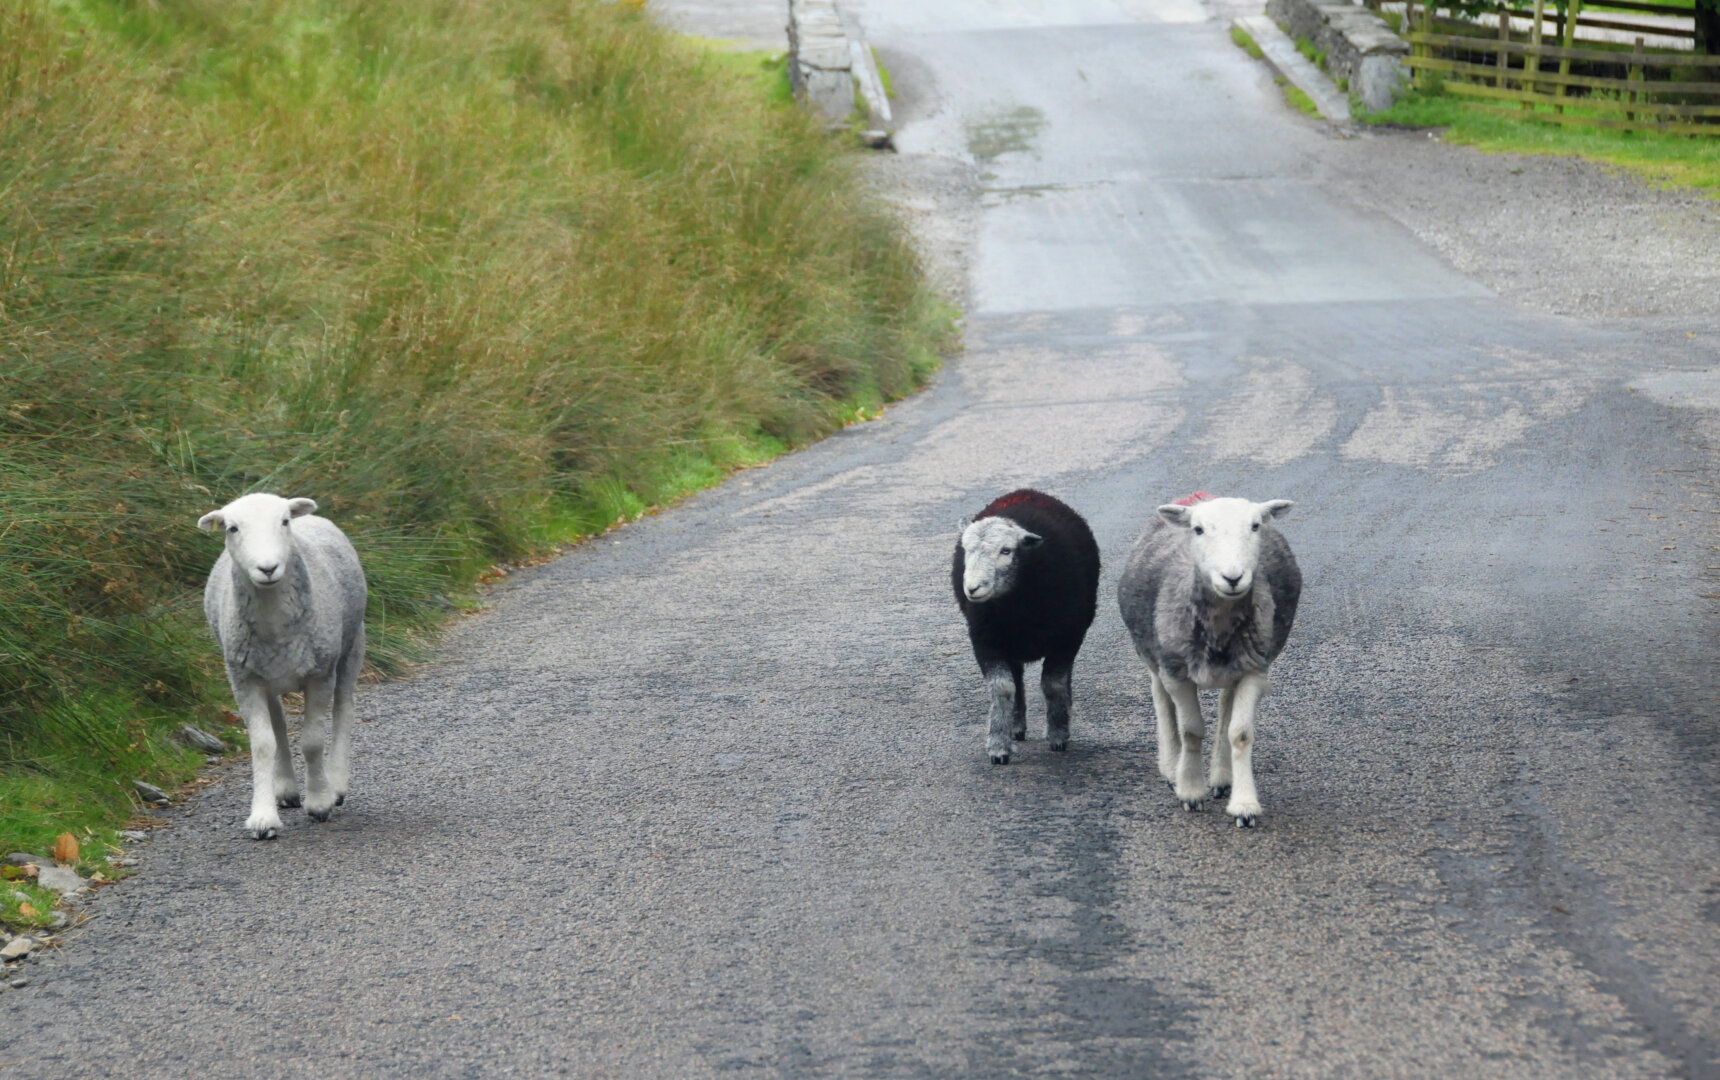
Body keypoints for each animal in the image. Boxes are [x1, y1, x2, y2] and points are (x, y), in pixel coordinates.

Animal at [198, 493, 367, 840]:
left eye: (284, 522)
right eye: (232, 528)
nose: (267, 568)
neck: (275, 627)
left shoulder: (320, 673)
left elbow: (313, 741)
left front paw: (319, 802)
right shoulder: (244, 679)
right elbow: (264, 745)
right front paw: (263, 817)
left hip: (351, 646)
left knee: (344, 709)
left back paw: (336, 783)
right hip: (269, 677)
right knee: (278, 726)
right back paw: (286, 788)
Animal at [952, 489, 1100, 764]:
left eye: (1006, 550)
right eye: (965, 549)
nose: (972, 588)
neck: (1017, 606)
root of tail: (1025, 492)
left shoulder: (1067, 637)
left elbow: (1053, 684)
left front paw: (1058, 733)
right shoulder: (985, 640)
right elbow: (1002, 688)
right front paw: (998, 745)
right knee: (1017, 679)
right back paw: (1016, 725)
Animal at [1116, 493, 1300, 827]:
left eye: (1255, 526)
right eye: (1198, 530)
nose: (1233, 577)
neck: (1219, 625)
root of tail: (1201, 495)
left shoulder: (1255, 670)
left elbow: (1240, 734)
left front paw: (1244, 805)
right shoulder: (1176, 673)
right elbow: (1191, 731)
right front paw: (1190, 791)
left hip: (1236, 666)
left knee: (1226, 707)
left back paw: (1222, 777)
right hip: (1152, 653)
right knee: (1160, 698)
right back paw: (1171, 766)